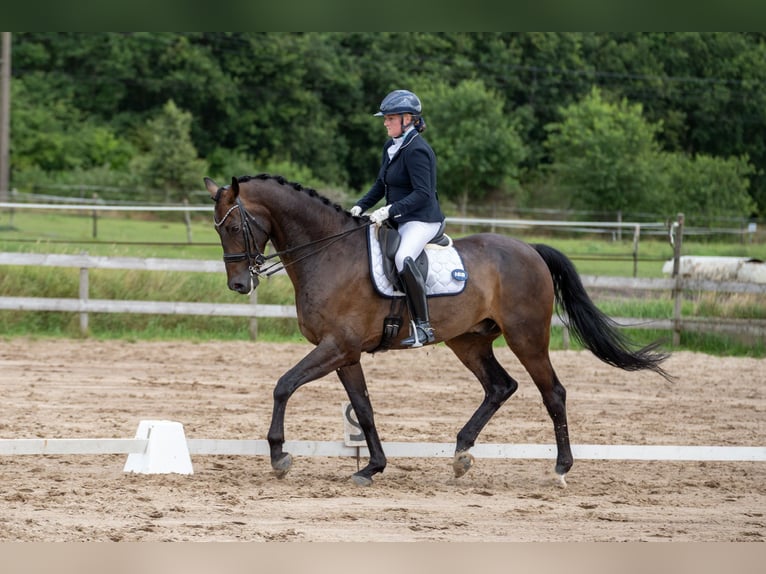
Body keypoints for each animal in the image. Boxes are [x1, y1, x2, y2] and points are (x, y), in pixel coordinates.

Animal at [204, 174, 671, 487]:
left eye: (234, 226)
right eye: (217, 229)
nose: (239, 285)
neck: (328, 252)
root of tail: (530, 250)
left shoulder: (337, 346)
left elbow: (283, 385)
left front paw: (279, 455)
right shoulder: (345, 353)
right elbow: (364, 409)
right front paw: (371, 467)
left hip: (526, 337)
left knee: (552, 392)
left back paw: (560, 468)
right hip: (469, 340)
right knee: (500, 387)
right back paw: (461, 454)